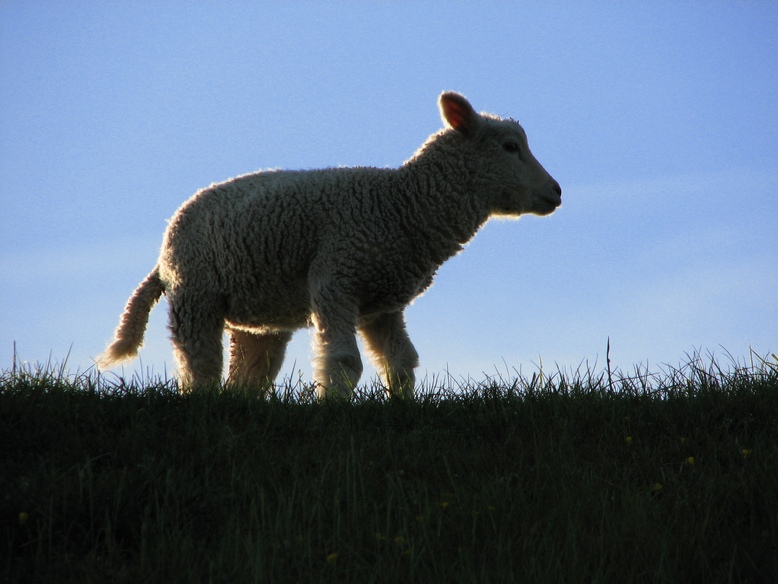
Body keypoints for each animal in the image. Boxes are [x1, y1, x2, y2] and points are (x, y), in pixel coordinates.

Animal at [97, 91, 560, 396]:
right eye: (511, 147)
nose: (556, 193)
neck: (403, 204)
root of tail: (162, 253)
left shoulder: (382, 304)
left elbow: (402, 367)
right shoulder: (336, 278)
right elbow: (345, 363)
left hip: (256, 316)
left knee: (249, 376)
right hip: (196, 293)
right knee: (201, 366)